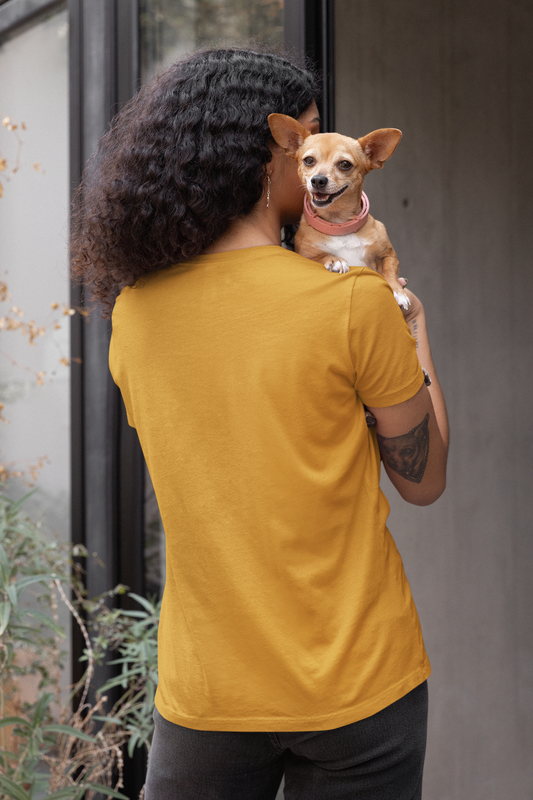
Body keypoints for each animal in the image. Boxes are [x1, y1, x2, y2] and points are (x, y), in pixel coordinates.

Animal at [268, 112, 410, 310]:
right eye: (309, 160)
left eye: (345, 164)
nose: (318, 180)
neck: (339, 225)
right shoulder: (305, 255)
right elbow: (321, 255)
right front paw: (335, 260)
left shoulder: (388, 255)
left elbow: (389, 271)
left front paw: (398, 292)